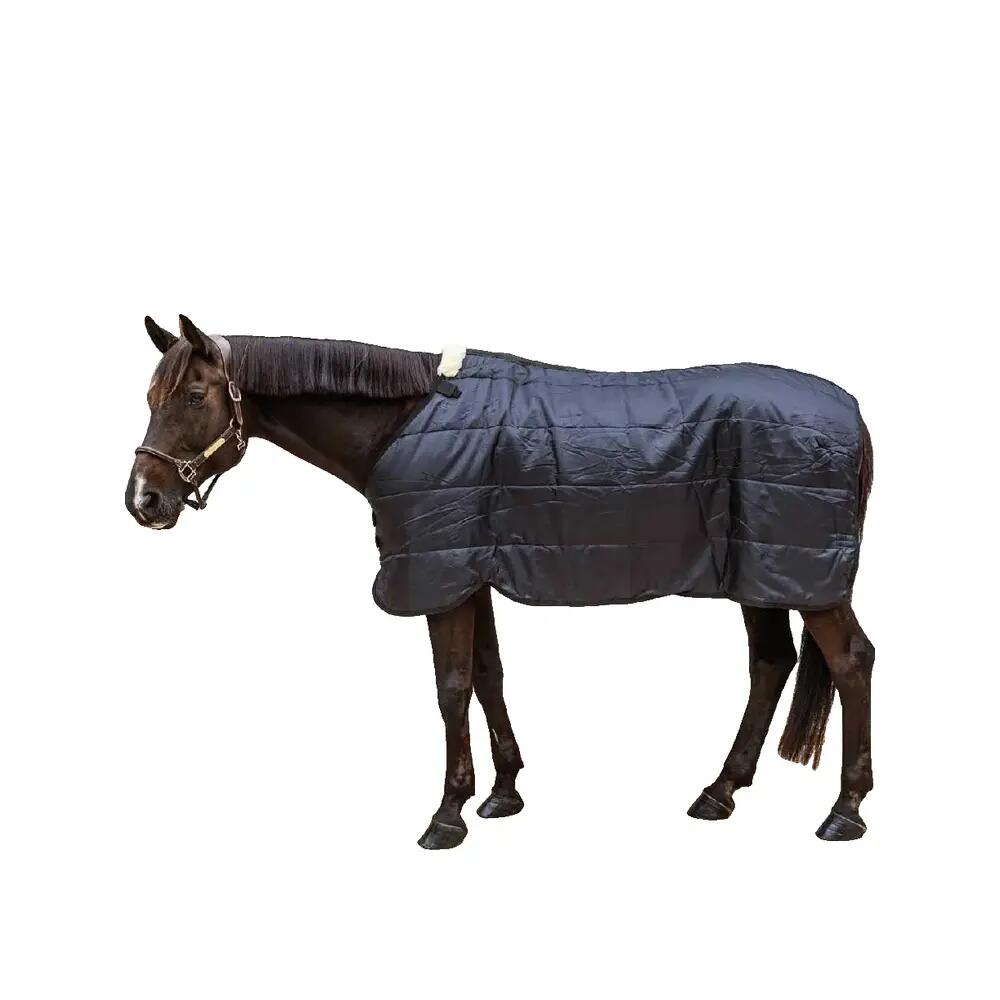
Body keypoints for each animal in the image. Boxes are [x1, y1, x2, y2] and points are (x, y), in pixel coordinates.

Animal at [126, 315, 875, 849]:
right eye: (150, 396)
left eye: (193, 396)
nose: (144, 501)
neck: (405, 423)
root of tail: (855, 418)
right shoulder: (468, 576)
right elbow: (488, 675)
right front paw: (503, 793)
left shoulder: (440, 576)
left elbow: (451, 689)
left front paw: (447, 813)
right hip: (764, 573)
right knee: (771, 663)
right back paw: (719, 793)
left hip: (809, 580)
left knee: (850, 661)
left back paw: (844, 811)